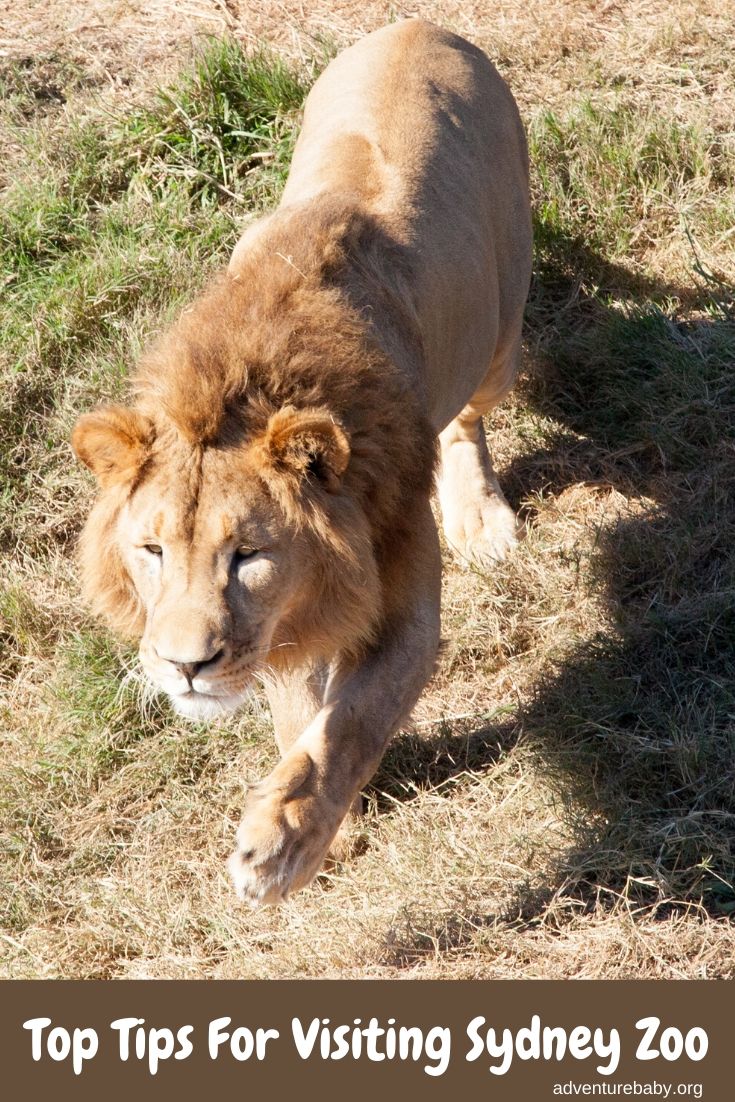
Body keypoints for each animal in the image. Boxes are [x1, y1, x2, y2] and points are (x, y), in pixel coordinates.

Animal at [71, 19, 531, 903]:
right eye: (150, 551)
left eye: (248, 554)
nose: (184, 666)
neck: (253, 372)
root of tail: (420, 24)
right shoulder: (285, 619)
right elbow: (300, 711)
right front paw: (317, 812)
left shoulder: (401, 599)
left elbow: (350, 722)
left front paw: (281, 843)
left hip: (498, 332)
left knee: (468, 416)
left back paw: (480, 518)